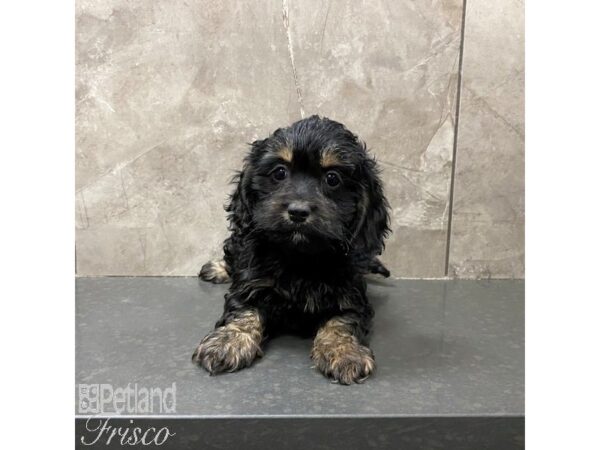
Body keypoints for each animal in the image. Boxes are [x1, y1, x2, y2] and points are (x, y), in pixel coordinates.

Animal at [191, 115, 390, 384]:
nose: (297, 211)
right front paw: (227, 341)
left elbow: (342, 321)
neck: (299, 257)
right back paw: (217, 268)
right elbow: (243, 310)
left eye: (333, 178)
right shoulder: (251, 281)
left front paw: (345, 352)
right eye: (279, 172)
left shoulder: (352, 296)